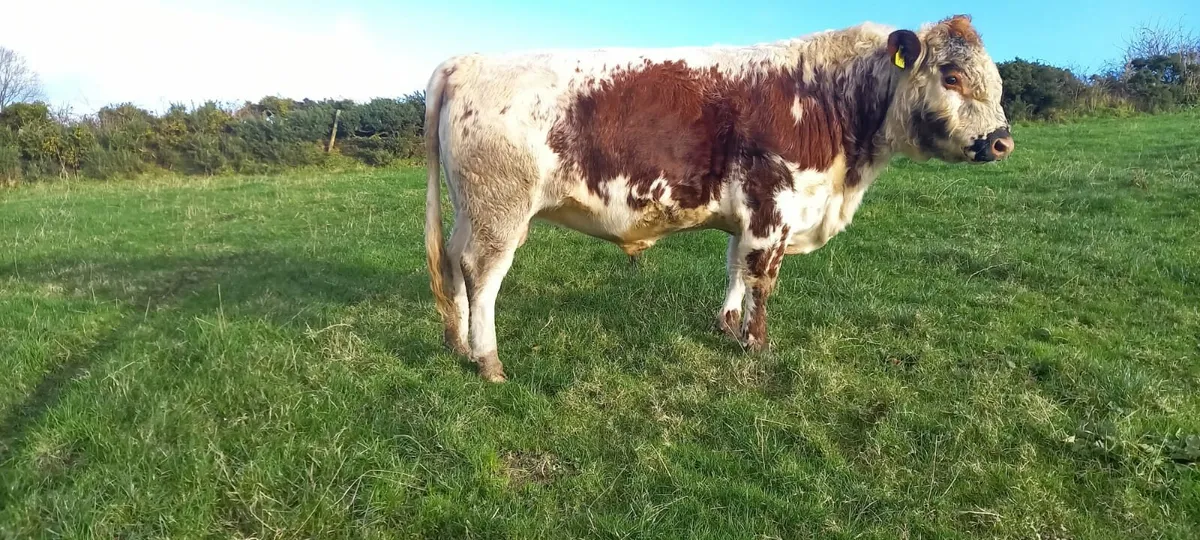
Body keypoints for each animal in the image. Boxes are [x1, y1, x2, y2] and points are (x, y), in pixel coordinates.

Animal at [422, 14, 1013, 382]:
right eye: (952, 75)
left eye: (996, 80)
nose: (1002, 141)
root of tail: (468, 60)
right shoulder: (774, 205)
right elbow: (762, 279)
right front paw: (756, 342)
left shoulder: (750, 214)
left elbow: (734, 266)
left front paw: (727, 326)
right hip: (501, 210)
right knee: (483, 274)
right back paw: (487, 360)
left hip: (470, 209)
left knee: (451, 262)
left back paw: (456, 343)